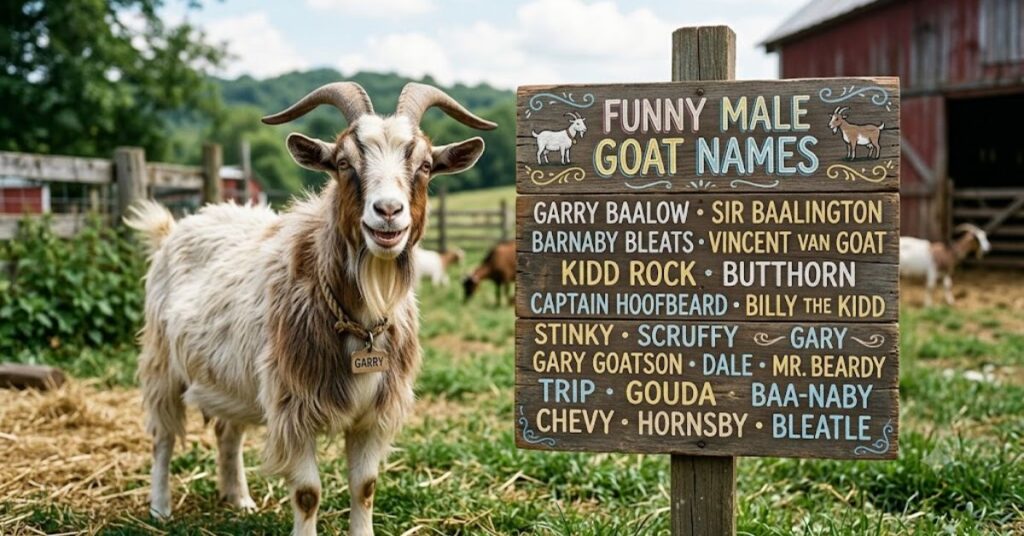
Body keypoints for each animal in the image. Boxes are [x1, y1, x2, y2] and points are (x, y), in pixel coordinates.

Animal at [125, 81, 495, 536]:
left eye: (425, 165)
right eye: (343, 163)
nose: (388, 212)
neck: (361, 319)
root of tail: (173, 229)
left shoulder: (374, 413)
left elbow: (365, 487)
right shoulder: (293, 406)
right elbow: (308, 493)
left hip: (230, 378)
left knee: (229, 433)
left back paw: (239, 498)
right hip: (162, 361)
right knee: (162, 436)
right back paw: (160, 507)